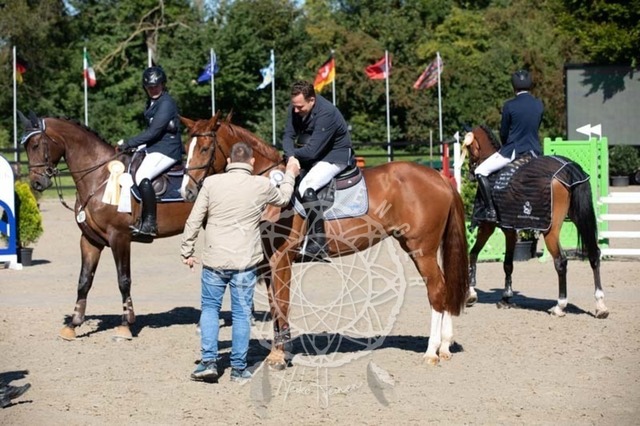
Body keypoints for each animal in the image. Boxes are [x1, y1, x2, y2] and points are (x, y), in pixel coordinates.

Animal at [19, 113, 196, 340]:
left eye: (36, 144)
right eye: (25, 147)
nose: (37, 184)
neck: (99, 177)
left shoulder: (119, 238)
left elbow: (123, 280)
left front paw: (125, 326)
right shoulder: (90, 239)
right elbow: (84, 280)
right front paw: (73, 325)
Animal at [179, 113, 470, 368]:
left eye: (205, 148)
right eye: (186, 148)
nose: (187, 192)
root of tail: (439, 178)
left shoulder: (282, 259)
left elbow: (282, 304)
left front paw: (279, 356)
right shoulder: (268, 262)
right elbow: (274, 306)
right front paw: (279, 350)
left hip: (421, 249)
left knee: (437, 289)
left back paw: (431, 351)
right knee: (445, 286)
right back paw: (445, 346)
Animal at [460, 125, 608, 318]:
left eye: (469, 148)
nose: (471, 173)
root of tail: (570, 169)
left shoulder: (487, 225)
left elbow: (473, 253)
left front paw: (471, 294)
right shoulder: (510, 229)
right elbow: (508, 264)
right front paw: (506, 297)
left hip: (550, 230)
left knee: (561, 261)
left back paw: (559, 306)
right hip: (579, 218)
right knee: (594, 254)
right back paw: (600, 306)